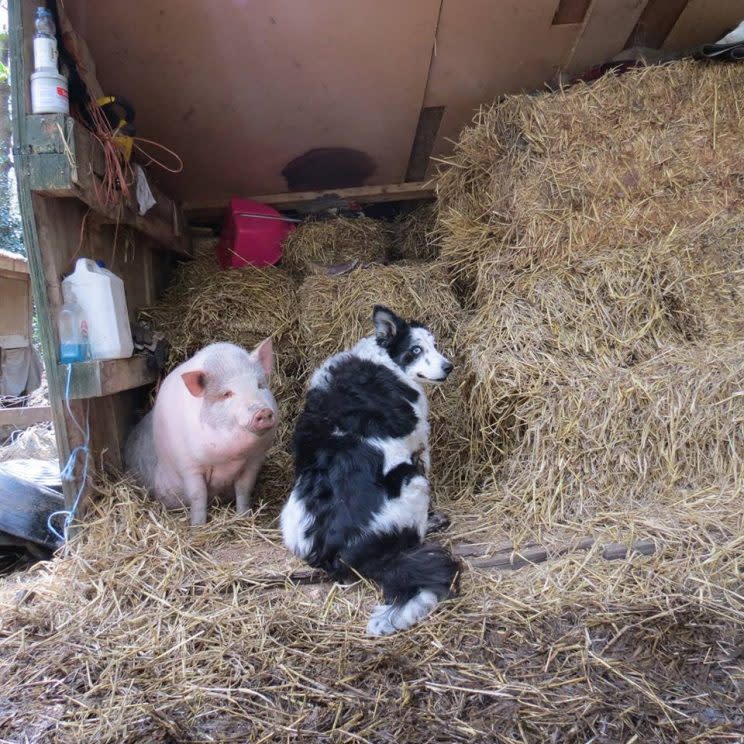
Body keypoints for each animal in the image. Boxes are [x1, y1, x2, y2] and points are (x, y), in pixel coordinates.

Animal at [125, 340, 280, 528]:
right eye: (226, 394)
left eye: (260, 385)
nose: (263, 411)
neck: (230, 458)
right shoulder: (188, 465)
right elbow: (198, 496)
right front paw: (197, 527)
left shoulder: (254, 460)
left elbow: (244, 489)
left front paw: (243, 516)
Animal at [280, 306, 460, 636]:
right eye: (416, 350)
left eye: (434, 344)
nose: (448, 367)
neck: (385, 360)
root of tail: (339, 551)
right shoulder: (420, 443)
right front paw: (436, 514)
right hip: (413, 482)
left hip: (290, 517)